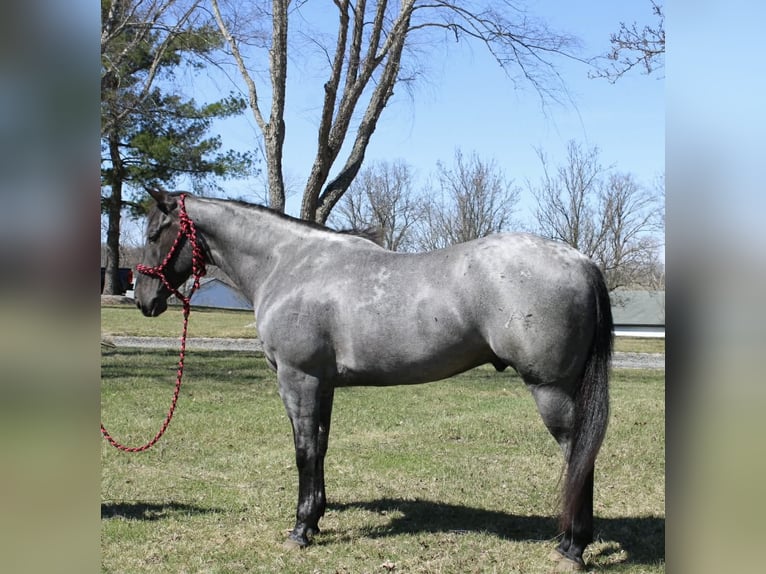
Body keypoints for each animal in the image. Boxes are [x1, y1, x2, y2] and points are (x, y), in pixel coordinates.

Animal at [134, 189, 612, 571]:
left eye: (156, 232)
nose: (142, 299)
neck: (288, 263)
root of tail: (582, 261)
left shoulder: (298, 379)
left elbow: (304, 452)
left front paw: (299, 530)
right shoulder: (322, 384)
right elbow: (321, 448)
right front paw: (316, 519)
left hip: (551, 390)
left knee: (577, 454)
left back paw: (572, 548)